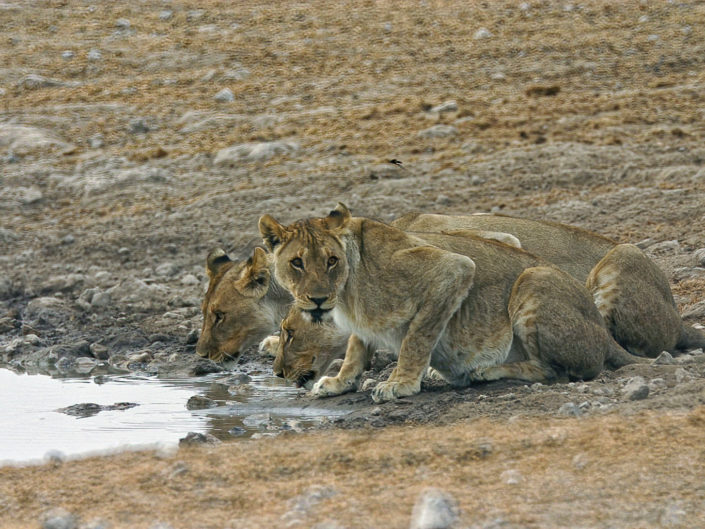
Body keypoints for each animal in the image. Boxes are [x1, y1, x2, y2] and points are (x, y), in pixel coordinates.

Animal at [258, 203, 647, 402]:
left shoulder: (452, 269)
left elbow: (416, 338)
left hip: (534, 279)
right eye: (297, 262)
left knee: (556, 372)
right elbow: (355, 350)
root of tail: (605, 336)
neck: (346, 294)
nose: (319, 299)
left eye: (331, 260)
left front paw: (401, 383)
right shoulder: (362, 324)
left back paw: (486, 370)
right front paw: (341, 382)